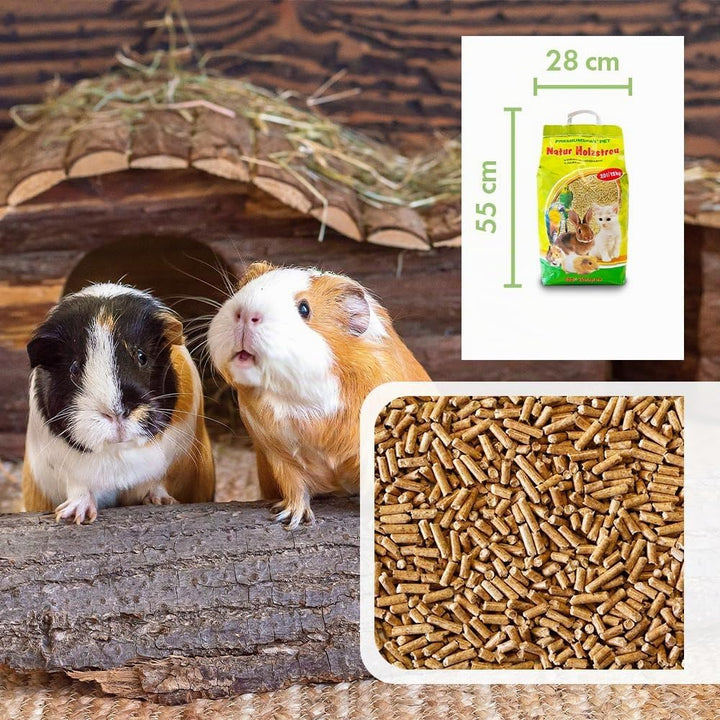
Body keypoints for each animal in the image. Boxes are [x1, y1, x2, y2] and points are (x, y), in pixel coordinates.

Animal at [23, 283, 215, 523]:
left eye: (142, 357)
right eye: (74, 368)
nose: (115, 413)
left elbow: (156, 483)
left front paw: (162, 501)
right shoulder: (70, 471)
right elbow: (80, 490)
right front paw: (75, 516)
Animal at [208, 262, 430, 527]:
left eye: (304, 309)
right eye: (242, 292)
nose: (244, 313)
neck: (302, 406)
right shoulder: (279, 456)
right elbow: (295, 487)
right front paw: (290, 518)